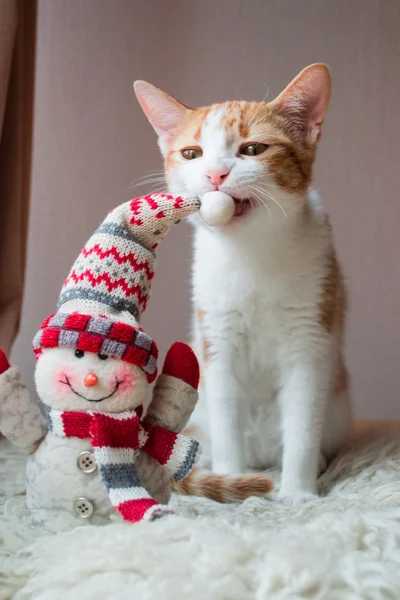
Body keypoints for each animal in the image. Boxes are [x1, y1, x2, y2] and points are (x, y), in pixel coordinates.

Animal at [135, 63, 354, 504]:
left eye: (253, 150)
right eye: (191, 154)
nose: (215, 174)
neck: (251, 251)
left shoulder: (309, 338)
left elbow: (302, 423)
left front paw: (297, 492)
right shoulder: (217, 338)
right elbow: (226, 414)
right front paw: (233, 481)